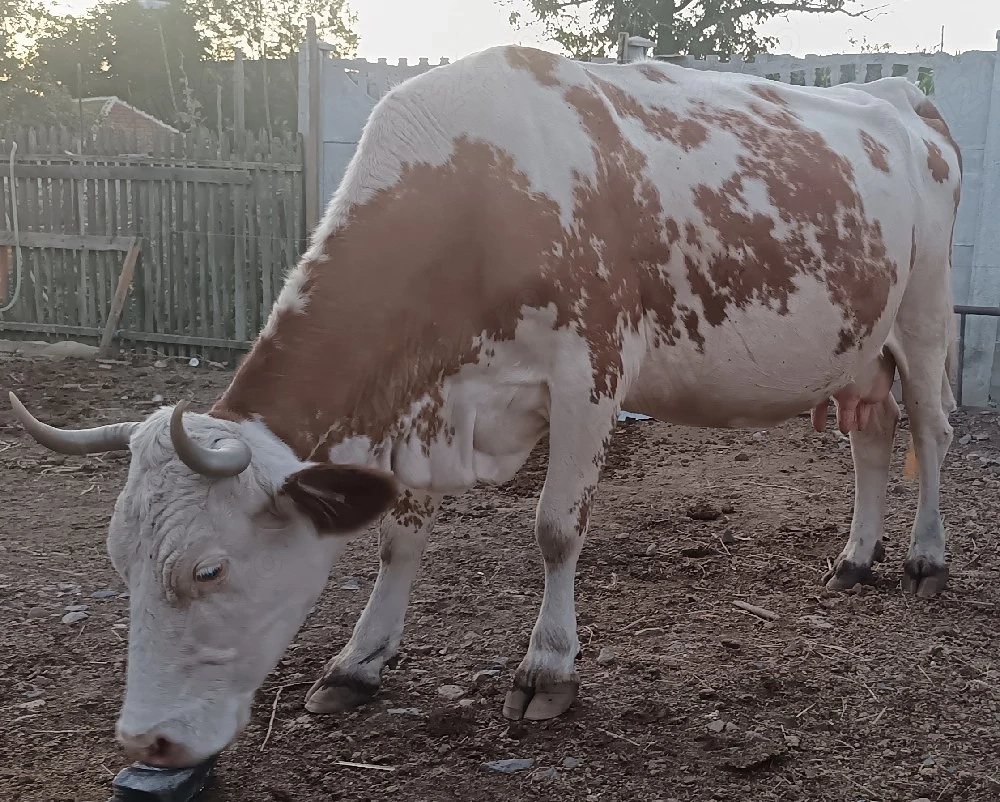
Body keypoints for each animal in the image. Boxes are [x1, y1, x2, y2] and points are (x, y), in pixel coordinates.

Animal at [10, 45, 961, 768]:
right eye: (116, 560)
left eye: (207, 569)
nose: (147, 741)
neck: (477, 194)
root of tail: (899, 92)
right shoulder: (421, 404)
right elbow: (398, 535)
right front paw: (358, 663)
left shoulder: (590, 372)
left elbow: (555, 528)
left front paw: (547, 670)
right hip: (859, 344)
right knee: (873, 436)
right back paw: (856, 558)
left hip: (924, 315)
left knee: (932, 429)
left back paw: (924, 559)